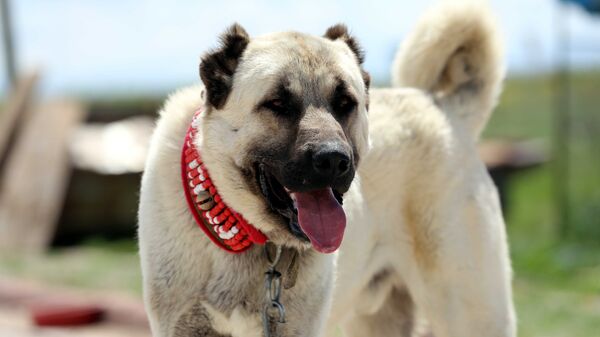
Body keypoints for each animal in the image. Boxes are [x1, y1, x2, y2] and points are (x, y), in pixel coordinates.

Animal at [137, 1, 516, 334]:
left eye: (345, 103)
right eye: (277, 103)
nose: (333, 159)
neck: (254, 237)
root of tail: (444, 107)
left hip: (473, 310)